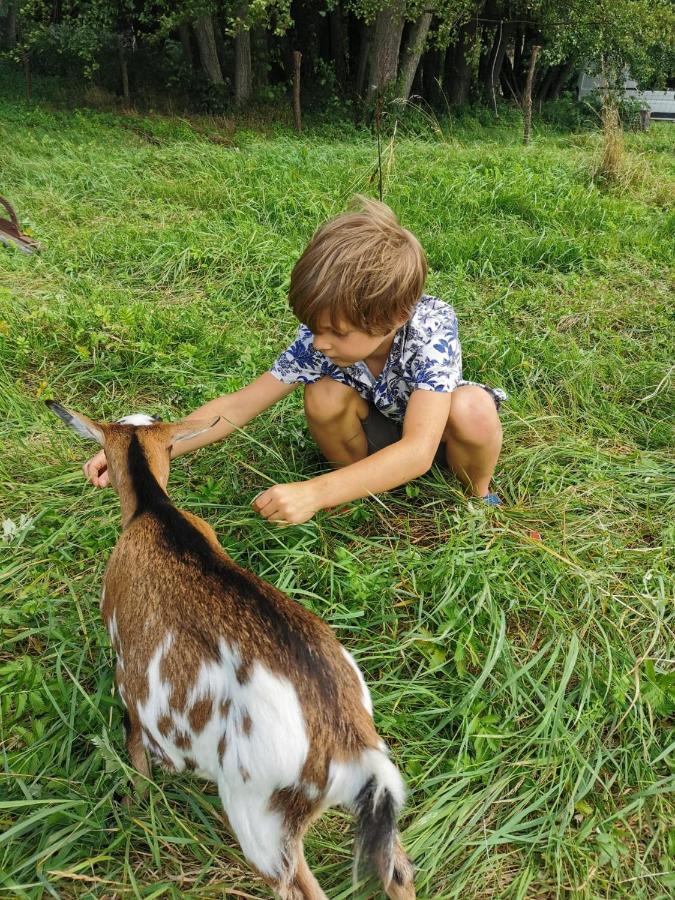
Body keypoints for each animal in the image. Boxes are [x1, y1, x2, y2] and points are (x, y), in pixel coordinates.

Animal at [47, 404, 414, 900]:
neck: (153, 511)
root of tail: (347, 745)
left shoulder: (127, 677)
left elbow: (135, 751)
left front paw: (134, 806)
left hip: (258, 816)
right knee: (398, 869)